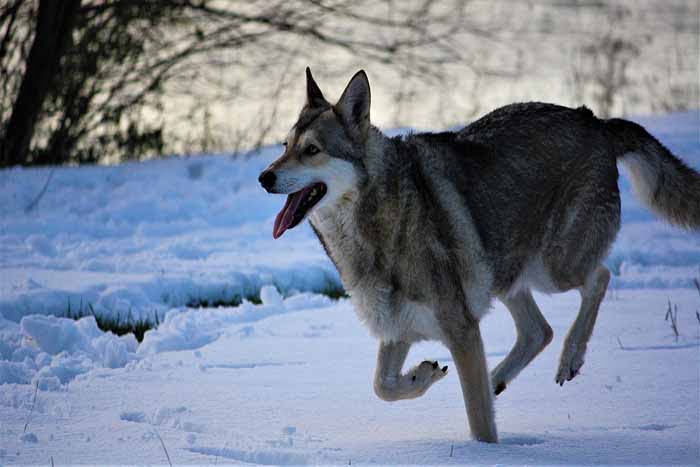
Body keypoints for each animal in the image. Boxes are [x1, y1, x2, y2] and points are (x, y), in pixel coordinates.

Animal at [258, 67, 700, 444]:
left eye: (311, 150)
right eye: (284, 146)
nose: (264, 177)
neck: (376, 221)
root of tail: (595, 120)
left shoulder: (461, 330)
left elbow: (479, 423)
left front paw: (486, 453)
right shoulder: (400, 327)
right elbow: (382, 386)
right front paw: (424, 375)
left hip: (551, 268)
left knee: (599, 278)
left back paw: (569, 359)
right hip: (502, 273)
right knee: (539, 330)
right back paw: (497, 377)